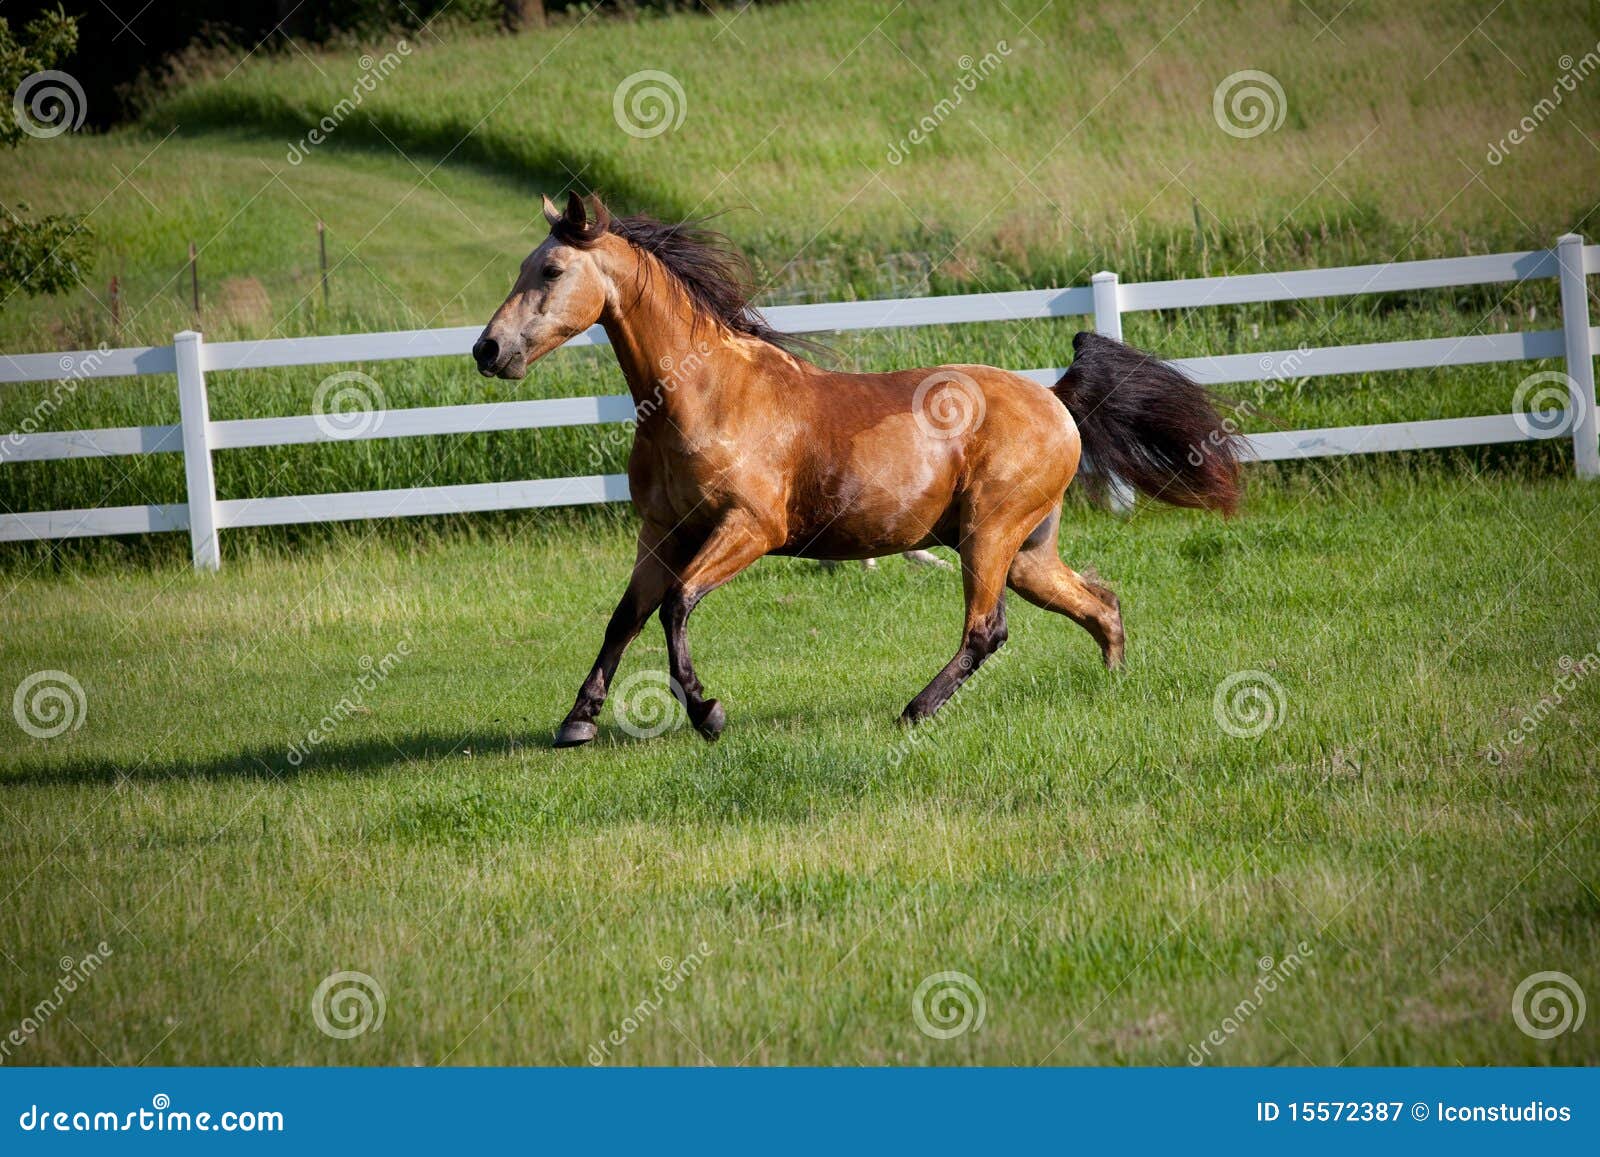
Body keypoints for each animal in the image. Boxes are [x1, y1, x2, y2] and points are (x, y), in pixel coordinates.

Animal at [473, 193, 1240, 747]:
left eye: (550, 271)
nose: (487, 350)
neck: (705, 394)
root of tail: (1054, 398)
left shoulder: (749, 527)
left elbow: (676, 605)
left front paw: (707, 712)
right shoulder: (660, 533)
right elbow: (623, 618)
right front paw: (576, 722)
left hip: (990, 535)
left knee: (987, 630)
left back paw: (914, 711)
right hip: (1025, 551)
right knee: (1098, 603)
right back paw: (1111, 684)